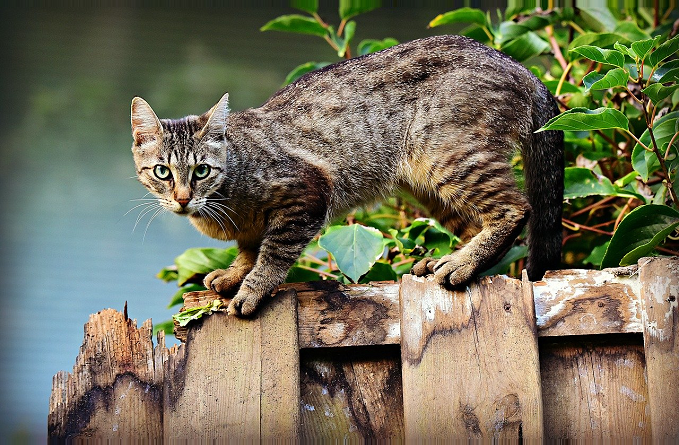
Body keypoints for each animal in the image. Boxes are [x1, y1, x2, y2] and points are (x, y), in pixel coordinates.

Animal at [131, 34, 564, 316]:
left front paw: (252, 288)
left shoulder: (306, 195)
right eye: (162, 172)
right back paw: (448, 260)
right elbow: (249, 249)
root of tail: (520, 67)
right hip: (427, 184)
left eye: (201, 171)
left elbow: (272, 254)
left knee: (515, 209)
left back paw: (461, 264)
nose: (183, 198)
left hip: (448, 155)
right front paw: (235, 274)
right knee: (477, 223)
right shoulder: (252, 228)